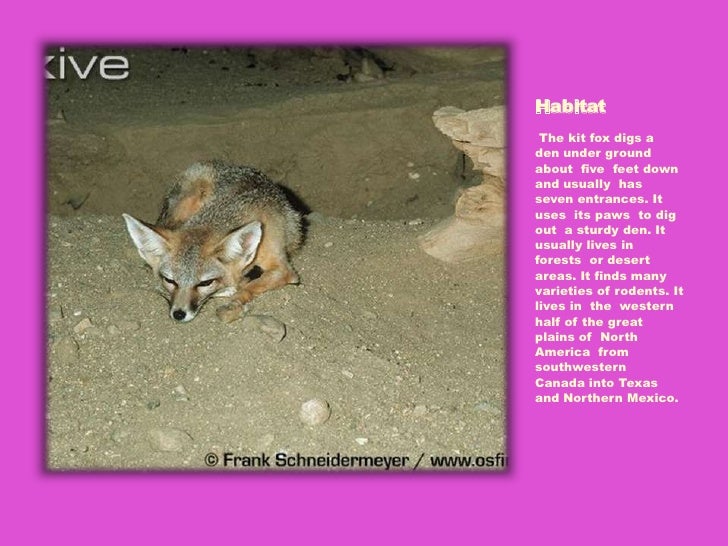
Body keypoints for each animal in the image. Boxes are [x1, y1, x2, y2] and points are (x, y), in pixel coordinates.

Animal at [122, 160, 303, 323]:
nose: (179, 314)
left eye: (205, 283)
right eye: (170, 280)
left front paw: (233, 301)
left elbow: (250, 285)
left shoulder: (282, 269)